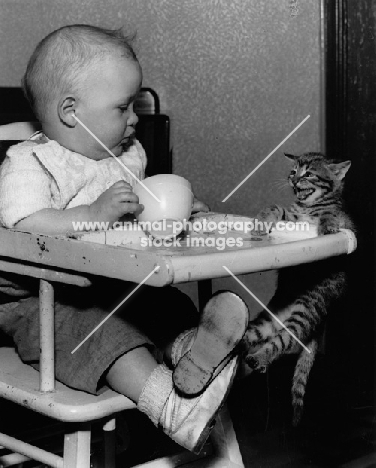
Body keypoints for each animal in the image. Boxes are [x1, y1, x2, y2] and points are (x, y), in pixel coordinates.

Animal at [242, 153, 354, 424]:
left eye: (309, 174)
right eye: (294, 171)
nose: (293, 180)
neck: (308, 207)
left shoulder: (346, 223)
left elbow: (333, 217)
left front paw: (327, 226)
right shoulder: (290, 218)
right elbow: (276, 207)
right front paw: (261, 221)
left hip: (304, 315)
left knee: (280, 344)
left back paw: (259, 359)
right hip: (269, 320)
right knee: (253, 337)